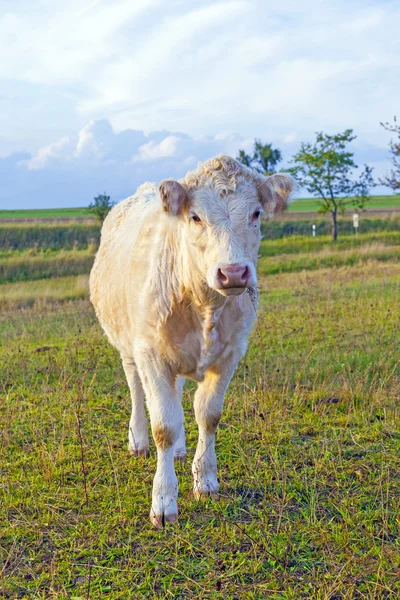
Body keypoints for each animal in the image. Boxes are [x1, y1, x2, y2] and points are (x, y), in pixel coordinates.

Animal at [90, 155, 290, 524]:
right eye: (195, 216)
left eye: (256, 213)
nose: (233, 272)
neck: (204, 304)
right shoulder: (151, 354)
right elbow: (163, 426)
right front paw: (163, 500)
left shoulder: (230, 353)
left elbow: (208, 415)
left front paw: (206, 480)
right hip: (127, 344)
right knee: (137, 389)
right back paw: (138, 440)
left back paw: (181, 449)